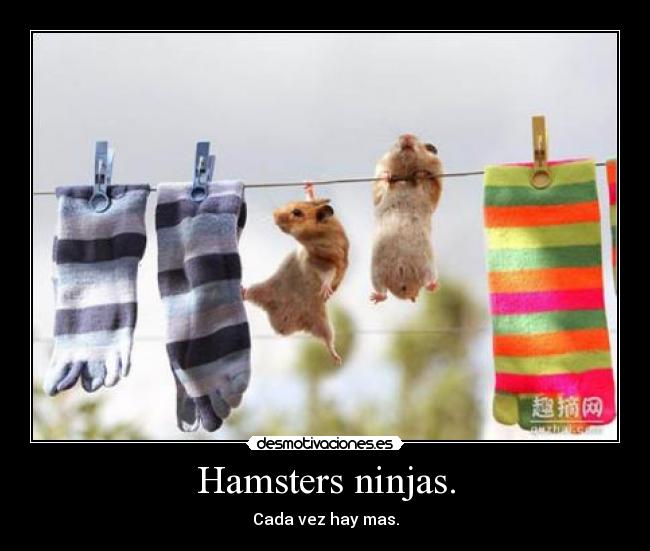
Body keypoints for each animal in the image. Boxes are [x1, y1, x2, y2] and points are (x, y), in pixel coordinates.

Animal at [243, 183, 349, 364]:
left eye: (297, 212)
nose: (274, 214)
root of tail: (283, 325)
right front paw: (308, 186)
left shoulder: (328, 260)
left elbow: (329, 274)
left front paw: (325, 290)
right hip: (263, 289)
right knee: (250, 293)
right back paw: (242, 291)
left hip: (322, 322)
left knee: (328, 340)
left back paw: (337, 359)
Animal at [370, 133, 443, 304]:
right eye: (395, 142)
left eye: (426, 146)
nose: (407, 135)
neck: (404, 177)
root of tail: (407, 288)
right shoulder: (378, 188)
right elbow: (383, 183)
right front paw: (389, 176)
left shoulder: (434, 187)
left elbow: (425, 182)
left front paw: (419, 174)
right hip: (375, 274)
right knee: (383, 292)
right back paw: (374, 298)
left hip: (428, 267)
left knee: (428, 284)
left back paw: (435, 285)